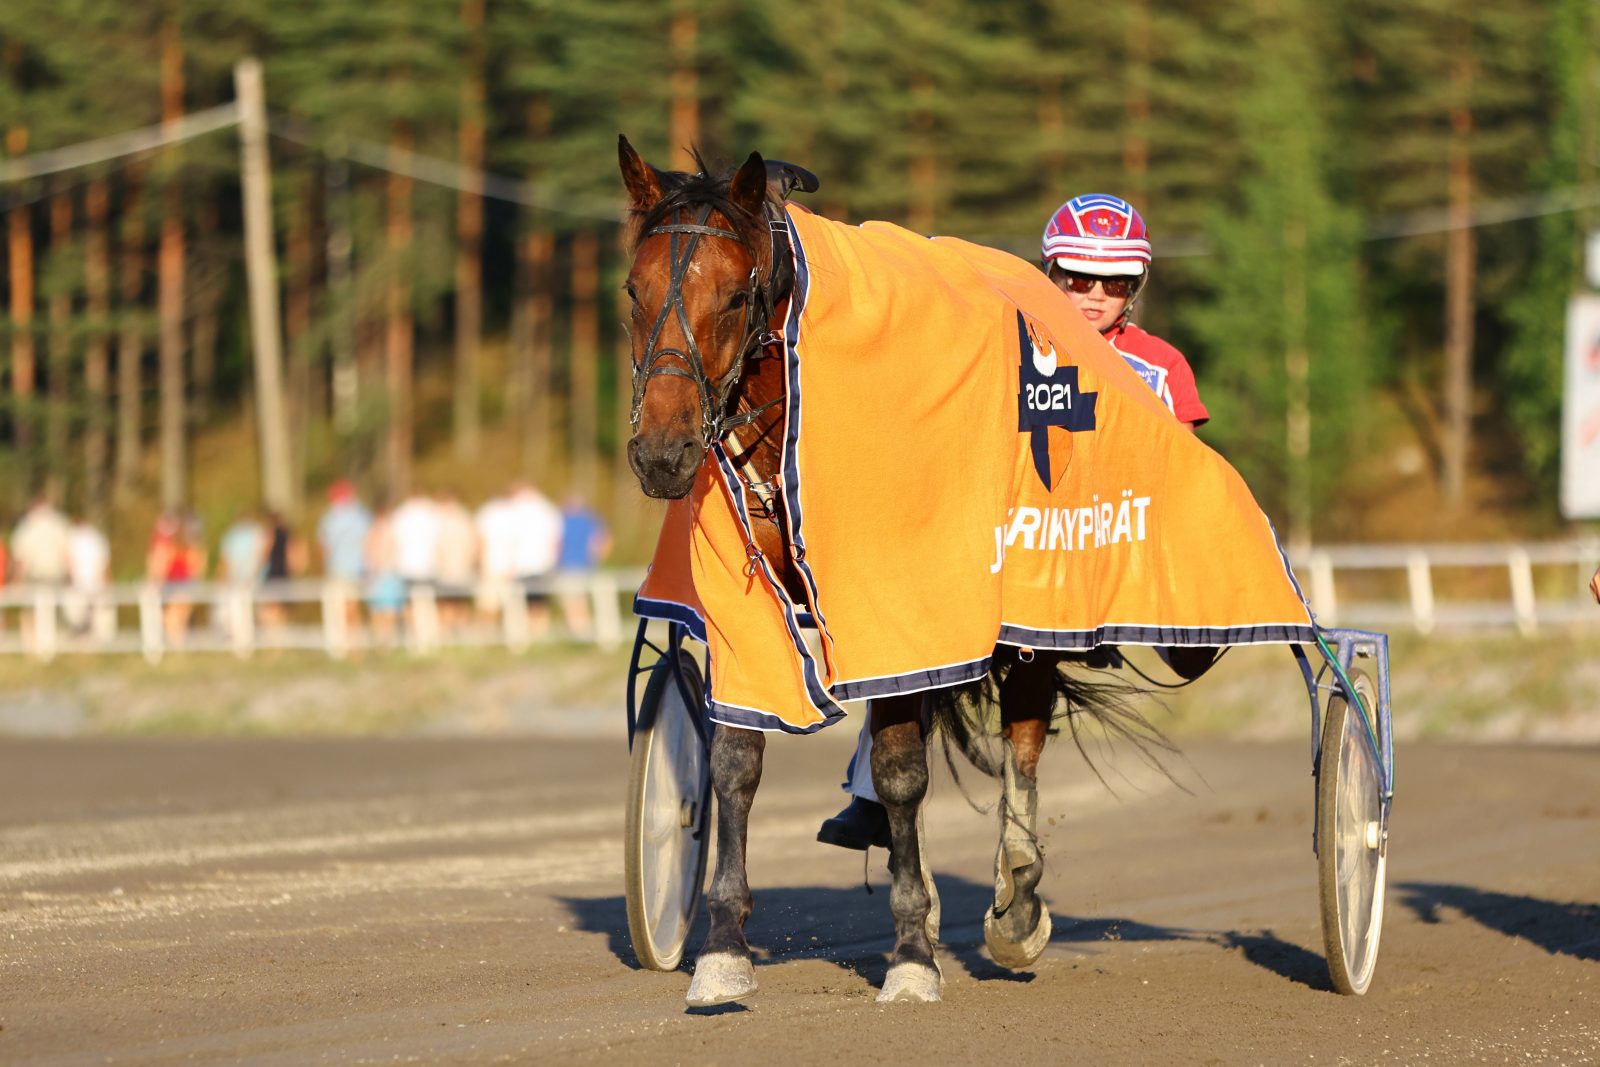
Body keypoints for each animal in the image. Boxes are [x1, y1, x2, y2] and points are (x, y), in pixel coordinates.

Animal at [617, 137, 1171, 1004]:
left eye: (737, 295)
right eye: (633, 290)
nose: (663, 450)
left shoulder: (907, 593)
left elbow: (905, 765)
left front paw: (913, 951)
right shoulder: (761, 602)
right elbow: (736, 759)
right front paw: (722, 946)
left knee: (1022, 735)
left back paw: (1017, 899)